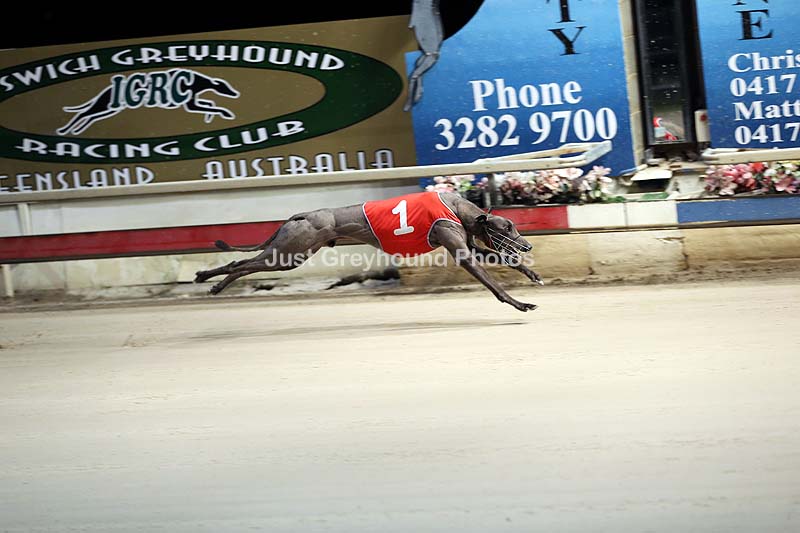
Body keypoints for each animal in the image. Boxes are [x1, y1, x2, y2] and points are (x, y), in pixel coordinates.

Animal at [194, 191, 543, 312]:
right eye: (507, 227)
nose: (527, 245)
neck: (458, 207)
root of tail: (300, 215)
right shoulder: (461, 252)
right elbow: (494, 284)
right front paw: (520, 304)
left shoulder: (469, 245)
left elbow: (506, 262)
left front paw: (532, 273)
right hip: (288, 254)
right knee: (241, 265)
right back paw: (211, 282)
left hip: (291, 254)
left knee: (241, 261)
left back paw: (206, 279)